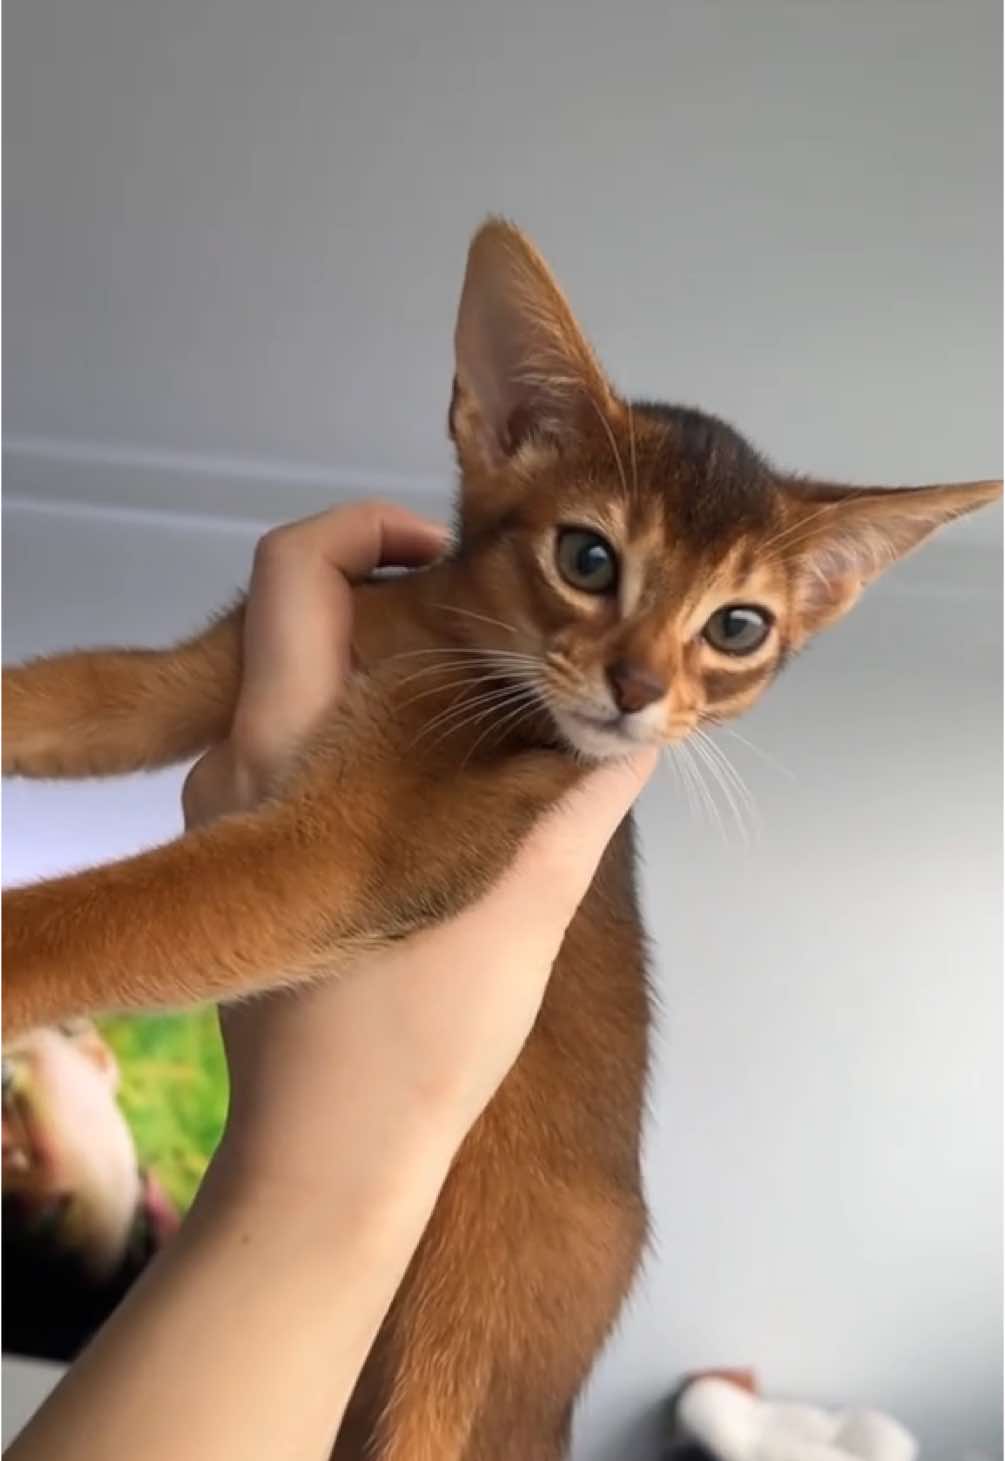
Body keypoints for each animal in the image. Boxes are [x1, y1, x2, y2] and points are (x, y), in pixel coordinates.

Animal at [3, 219, 999, 1461]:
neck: (428, 636)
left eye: (737, 628)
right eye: (589, 558)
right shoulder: (197, 680)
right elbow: (80, 694)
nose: (639, 689)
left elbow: (99, 916)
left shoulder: (351, 858)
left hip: (457, 1378)